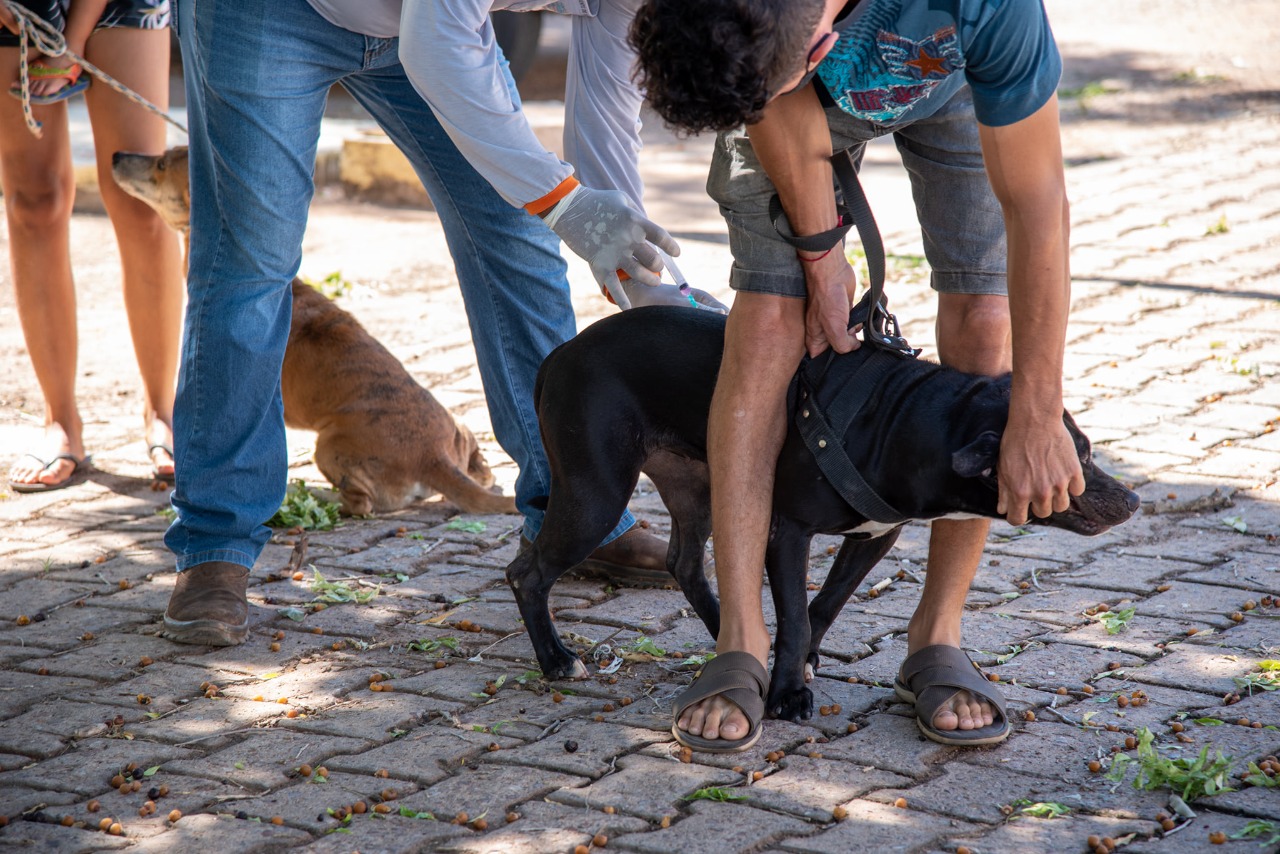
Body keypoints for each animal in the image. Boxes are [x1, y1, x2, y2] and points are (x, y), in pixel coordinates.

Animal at [112, 147, 514, 517]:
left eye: (161, 164)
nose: (116, 155)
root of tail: (432, 456)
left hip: (330, 445)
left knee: (362, 504)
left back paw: (321, 500)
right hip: (459, 428)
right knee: (485, 471)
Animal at [504, 303, 1136, 717]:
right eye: (1078, 457)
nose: (1132, 498)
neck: (908, 421)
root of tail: (560, 354)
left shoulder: (876, 534)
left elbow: (825, 605)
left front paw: (800, 661)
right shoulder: (787, 533)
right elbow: (795, 610)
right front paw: (789, 693)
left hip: (697, 484)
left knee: (683, 562)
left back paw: (728, 634)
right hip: (597, 494)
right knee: (526, 572)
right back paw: (556, 660)